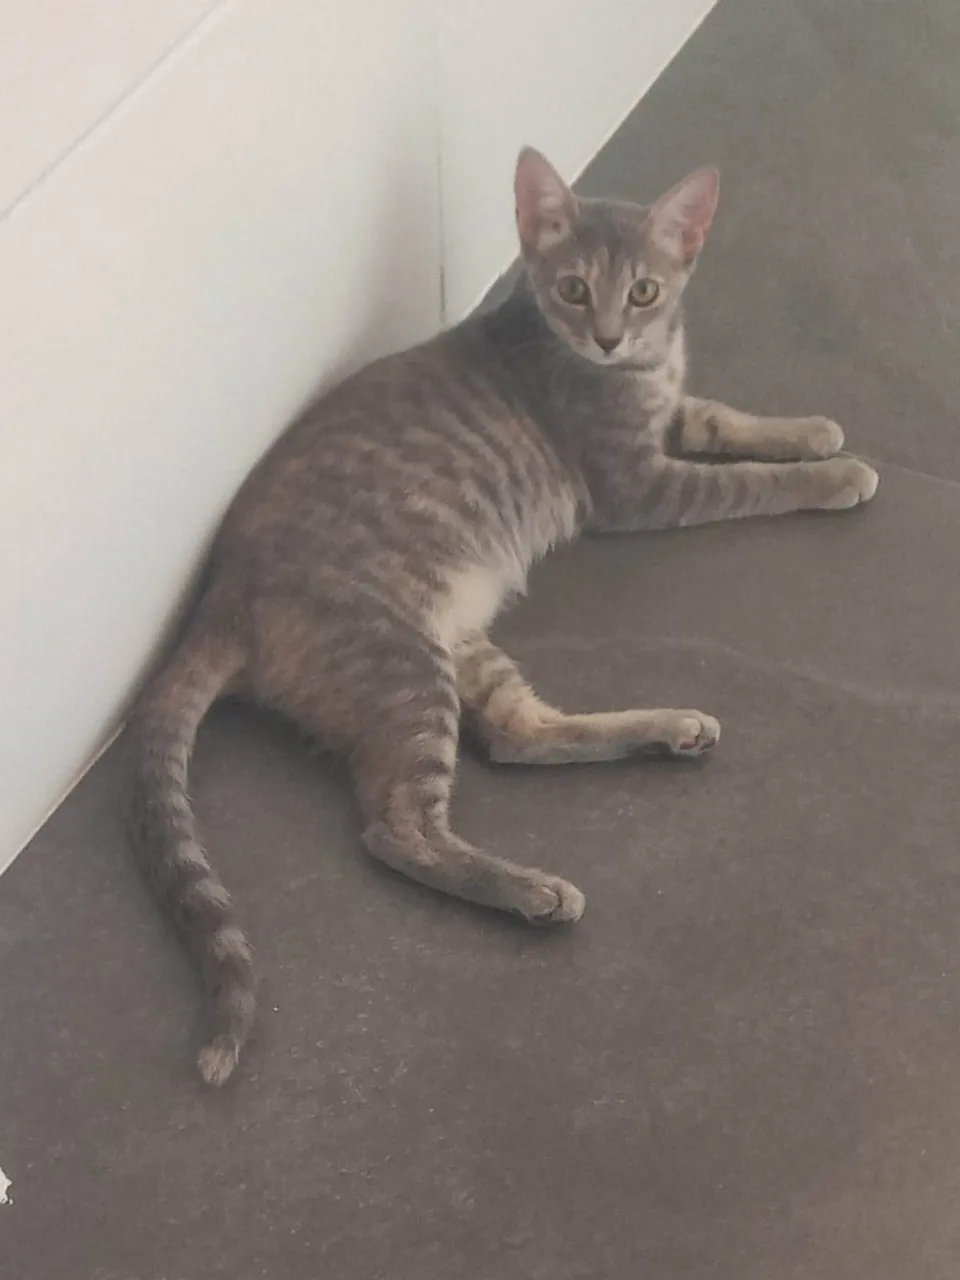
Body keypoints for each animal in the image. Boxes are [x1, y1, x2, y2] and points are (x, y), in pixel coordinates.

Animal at [128, 147, 879, 1086]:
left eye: (643, 291)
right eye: (572, 288)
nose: (608, 337)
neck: (640, 366)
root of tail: (219, 594)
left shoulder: (669, 414)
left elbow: (720, 415)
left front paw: (809, 428)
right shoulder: (639, 487)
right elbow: (748, 482)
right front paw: (833, 473)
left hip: (458, 647)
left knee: (521, 736)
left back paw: (665, 728)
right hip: (404, 666)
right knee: (398, 827)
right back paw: (530, 888)